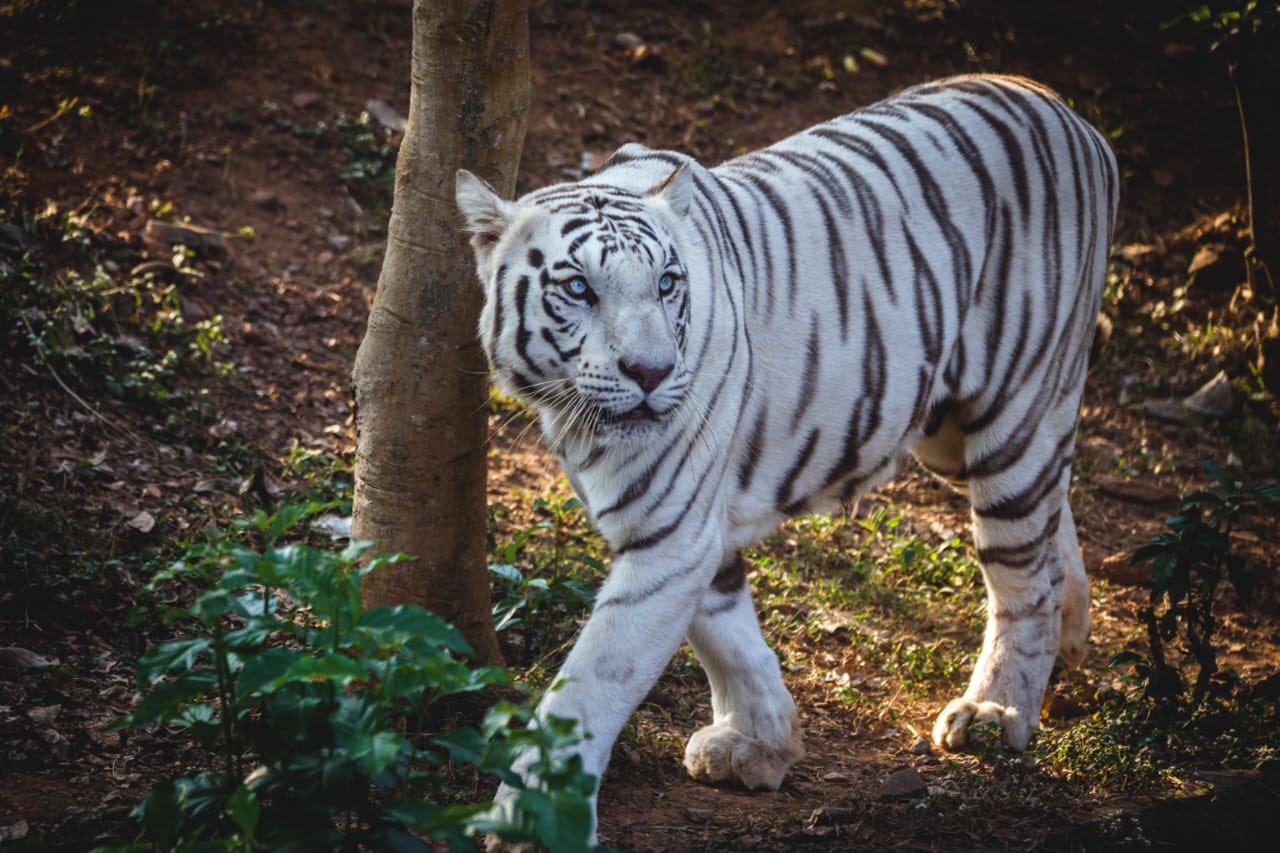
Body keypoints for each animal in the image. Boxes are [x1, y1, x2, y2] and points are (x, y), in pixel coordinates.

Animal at [458, 74, 1121, 835]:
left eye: (666, 284)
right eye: (578, 288)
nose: (653, 372)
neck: (570, 411)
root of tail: (1072, 117)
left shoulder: (669, 534)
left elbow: (592, 682)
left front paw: (531, 820)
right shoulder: (692, 529)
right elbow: (726, 635)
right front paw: (761, 744)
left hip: (1015, 406)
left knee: (1022, 572)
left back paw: (997, 710)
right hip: (950, 434)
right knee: (1052, 515)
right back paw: (1071, 635)